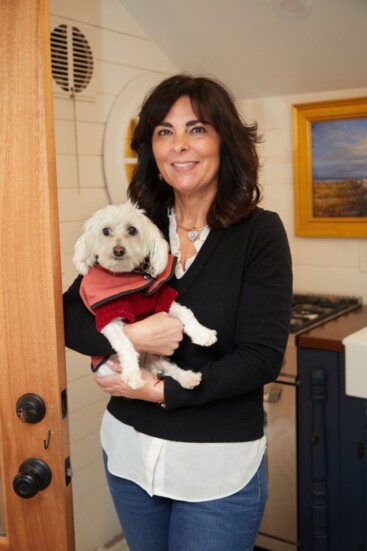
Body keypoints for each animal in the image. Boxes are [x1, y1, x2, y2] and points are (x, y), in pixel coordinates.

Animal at [74, 204, 218, 392]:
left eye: (132, 230)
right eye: (105, 231)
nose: (118, 250)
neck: (126, 276)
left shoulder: (160, 299)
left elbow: (186, 313)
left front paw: (203, 334)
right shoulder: (108, 317)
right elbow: (124, 344)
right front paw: (132, 375)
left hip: (155, 358)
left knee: (169, 368)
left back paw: (187, 378)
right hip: (108, 368)